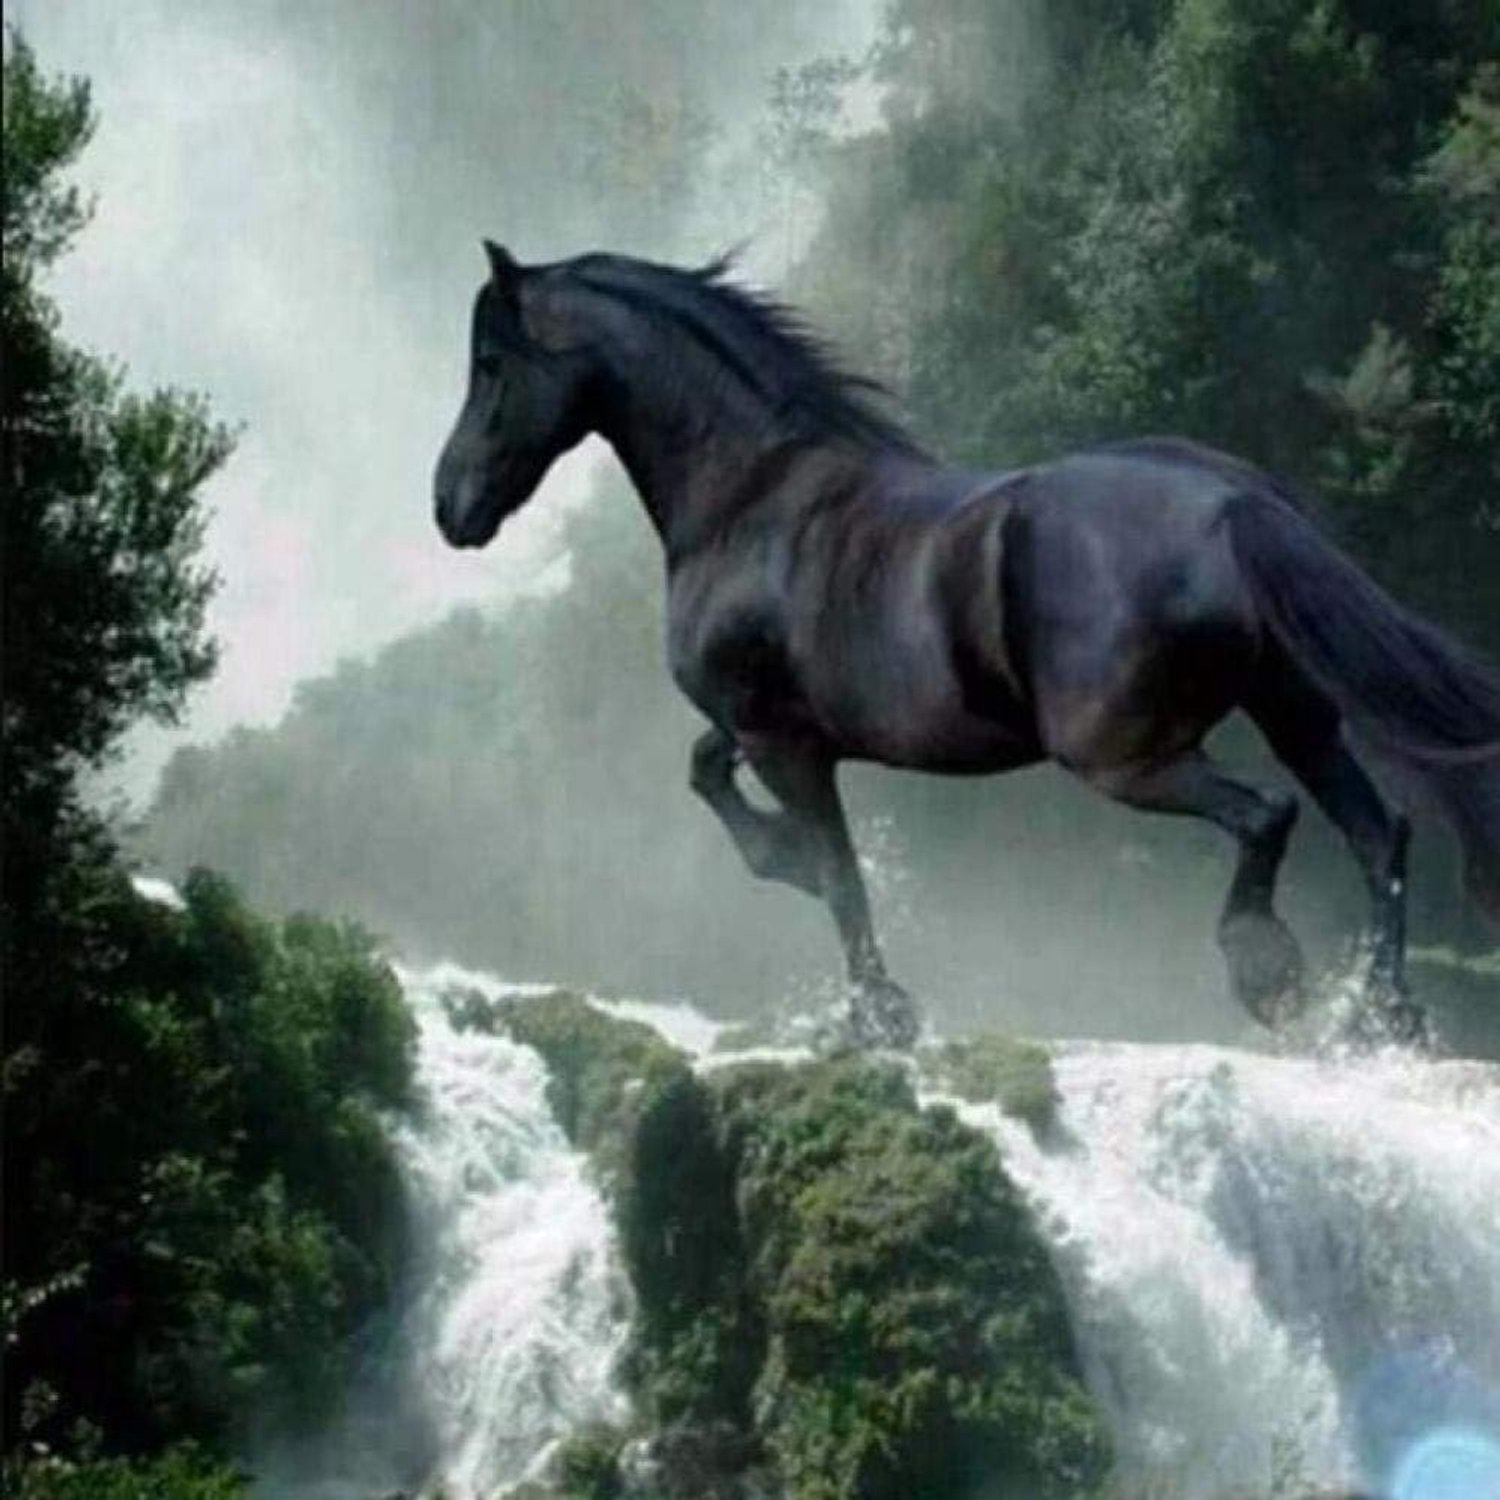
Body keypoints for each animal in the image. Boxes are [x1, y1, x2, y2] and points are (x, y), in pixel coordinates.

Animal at [434, 242, 1500, 1050]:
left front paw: (878, 1014)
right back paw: (1380, 1020)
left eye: (491, 365)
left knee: (1270, 816)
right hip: (1294, 714)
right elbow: (714, 779)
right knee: (1379, 833)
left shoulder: (785, 743)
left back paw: (1269, 974)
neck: (751, 498)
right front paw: (786, 867)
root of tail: (1231, 502)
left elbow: (838, 875)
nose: (450, 508)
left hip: (1122, 755)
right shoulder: (759, 729)